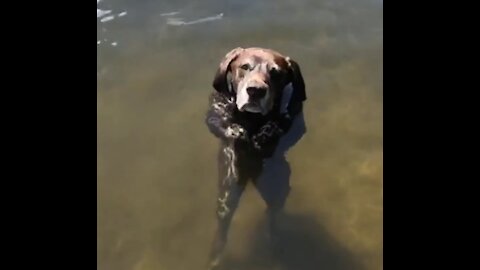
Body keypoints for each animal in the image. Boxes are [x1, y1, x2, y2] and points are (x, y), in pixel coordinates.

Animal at [204, 46, 306, 268]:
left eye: (276, 73)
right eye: (244, 67)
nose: (255, 90)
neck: (252, 119)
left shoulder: (296, 119)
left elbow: (285, 128)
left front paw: (266, 132)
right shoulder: (216, 111)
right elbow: (218, 124)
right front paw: (237, 131)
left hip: (277, 187)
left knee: (273, 216)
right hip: (228, 192)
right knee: (223, 225)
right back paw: (215, 257)